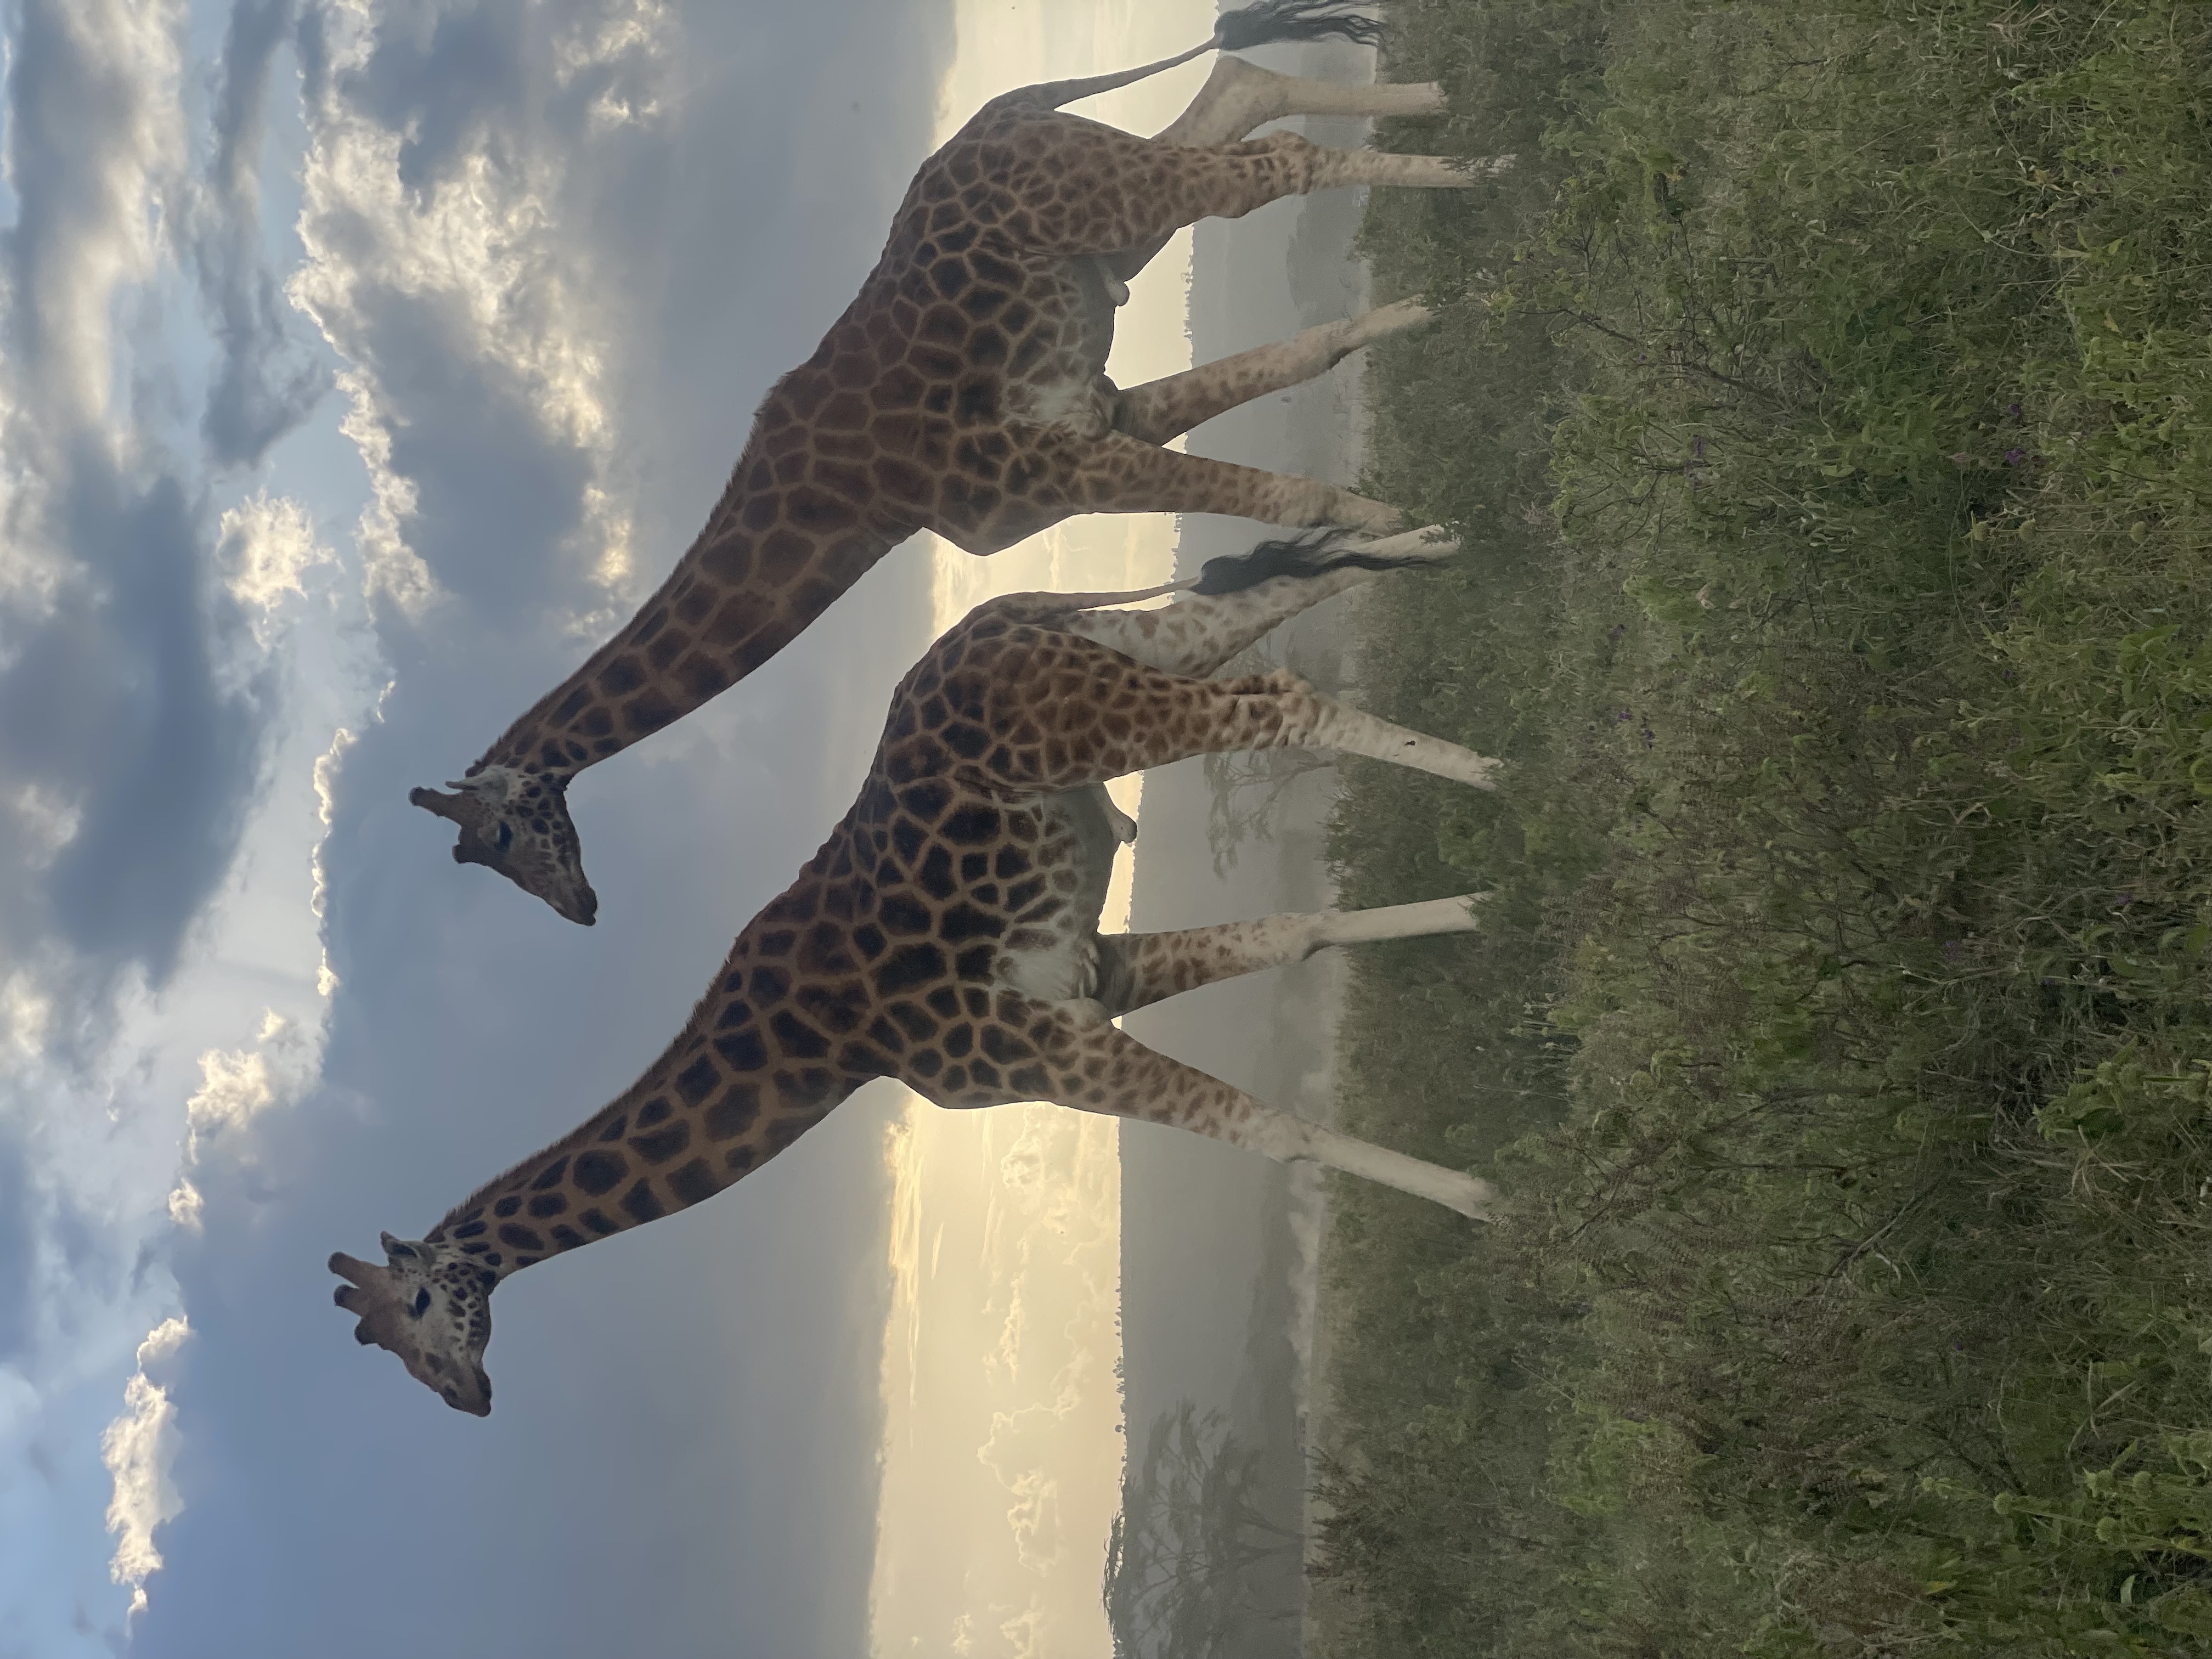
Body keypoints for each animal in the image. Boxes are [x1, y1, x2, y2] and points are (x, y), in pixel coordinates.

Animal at [337, 526, 1505, 1413]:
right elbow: (1294, 932)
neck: (822, 1047)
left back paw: (1499, 770)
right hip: (1142, 649)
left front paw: (1481, 1195)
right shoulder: (1093, 974)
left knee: (1286, 697)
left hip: (1115, 710)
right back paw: (1439, 548)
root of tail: (1007, 610)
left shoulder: (1036, 1053)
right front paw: (1467, 910)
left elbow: (1276, 1129)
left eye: (419, 1314)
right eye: (393, 1351)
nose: (471, 1400)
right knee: (1296, 587)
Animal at [409, 0, 1509, 925]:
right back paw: (1446, 128)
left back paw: (1481, 170)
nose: (584, 910)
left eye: (502, 835)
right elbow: (1293, 384)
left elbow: (1282, 498)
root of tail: (1005, 109)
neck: (857, 504)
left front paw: (1426, 542)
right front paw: (1414, 481)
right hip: (1120, 193)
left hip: (1122, 194)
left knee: (1274, 156)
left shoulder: (1054, 470)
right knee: (1246, 87)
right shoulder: (1099, 418)